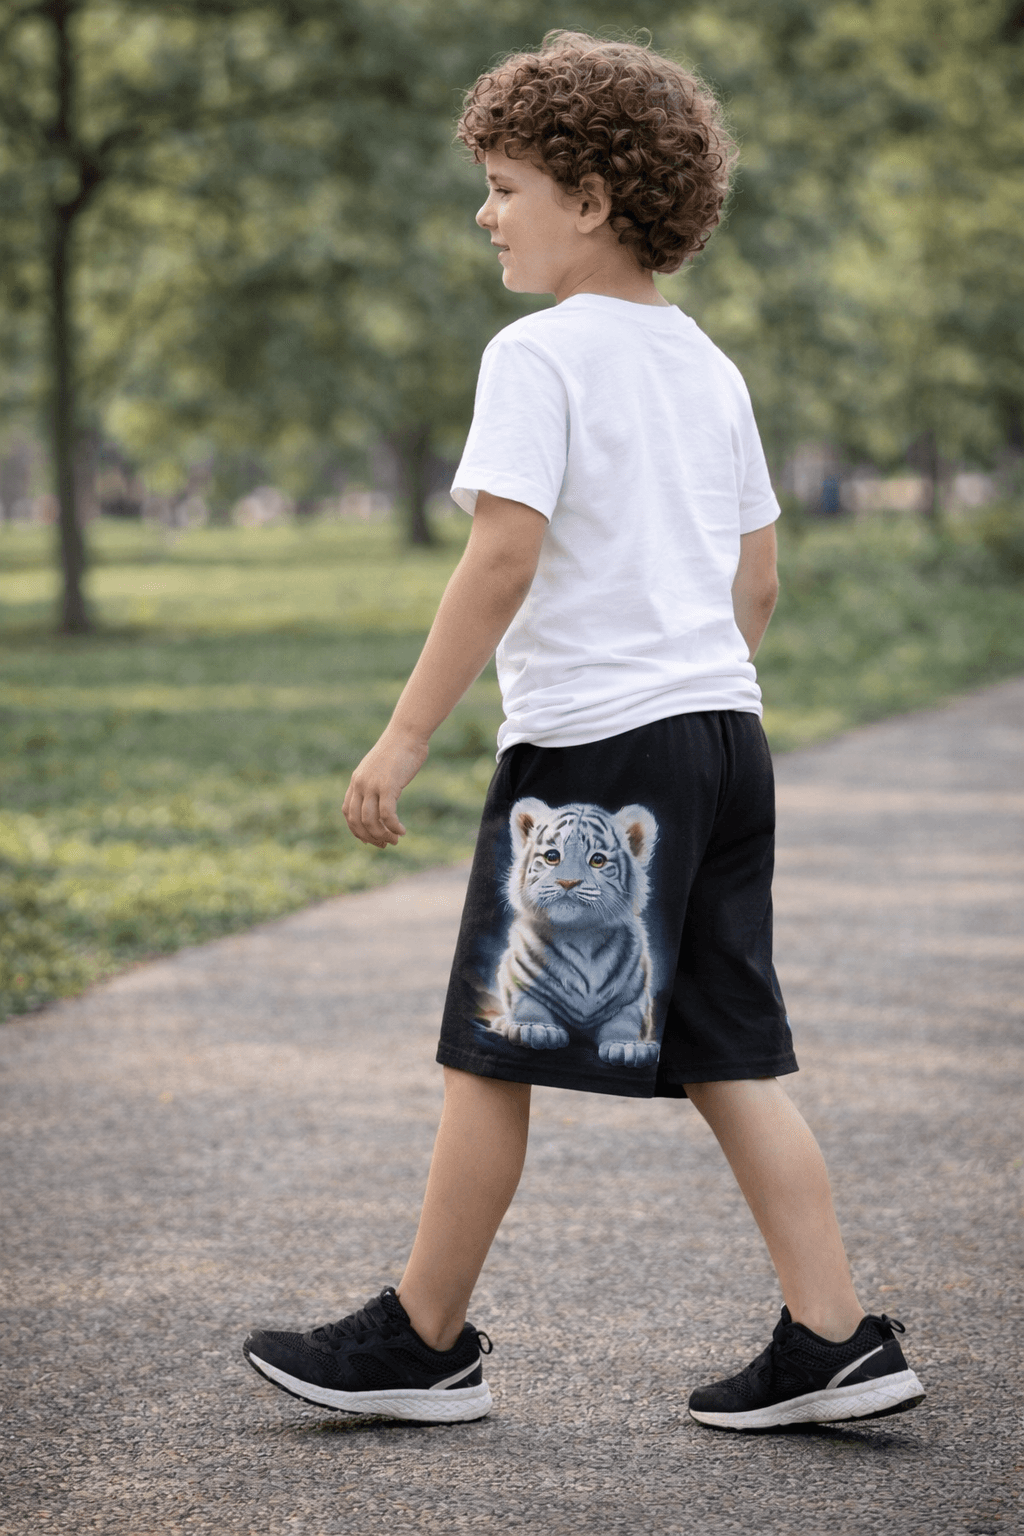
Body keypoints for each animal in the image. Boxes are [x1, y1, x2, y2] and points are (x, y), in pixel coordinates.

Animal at [477, 797, 661, 1067]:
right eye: (552, 856)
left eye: (597, 860)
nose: (568, 882)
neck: (580, 936)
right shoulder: (516, 975)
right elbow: (528, 1002)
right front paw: (535, 1029)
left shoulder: (634, 997)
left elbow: (626, 1021)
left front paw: (627, 1047)